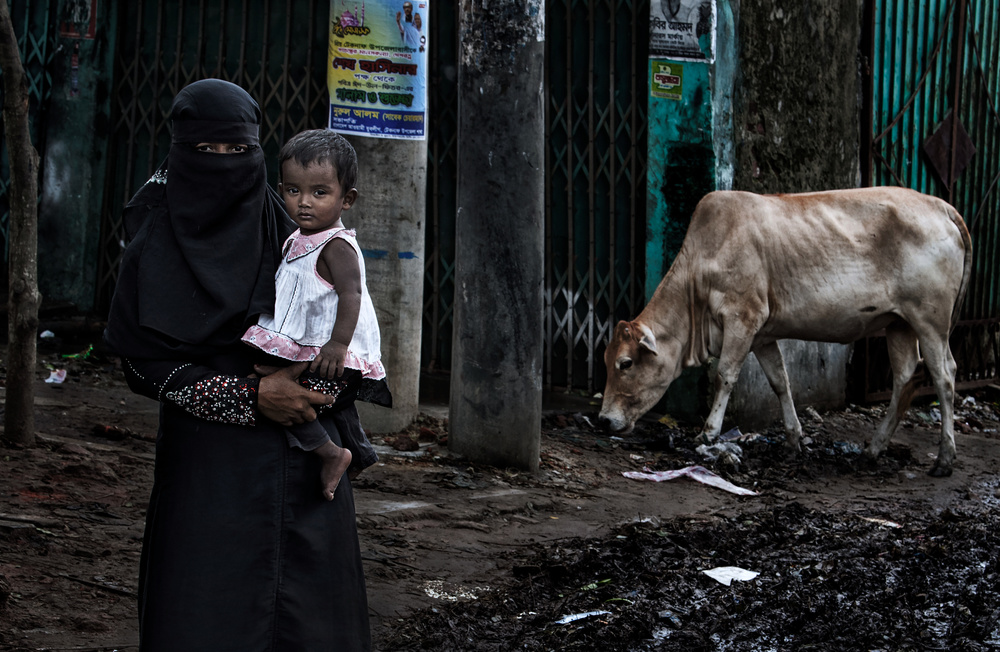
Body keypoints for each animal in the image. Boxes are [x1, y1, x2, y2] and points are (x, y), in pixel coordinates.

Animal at [596, 186, 972, 476]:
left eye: (626, 363)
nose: (603, 421)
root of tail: (940, 205)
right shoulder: (763, 335)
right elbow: (780, 382)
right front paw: (794, 439)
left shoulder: (743, 317)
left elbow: (725, 375)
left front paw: (708, 433)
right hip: (899, 324)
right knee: (906, 377)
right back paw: (874, 449)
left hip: (930, 320)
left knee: (944, 375)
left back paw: (944, 459)